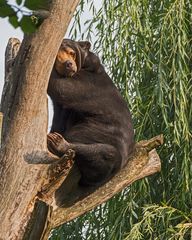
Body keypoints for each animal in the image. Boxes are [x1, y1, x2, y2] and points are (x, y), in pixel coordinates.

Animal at [47, 39, 134, 187]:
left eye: (72, 53)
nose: (69, 64)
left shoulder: (88, 83)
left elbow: (62, 87)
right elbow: (59, 118)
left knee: (106, 153)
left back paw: (58, 142)